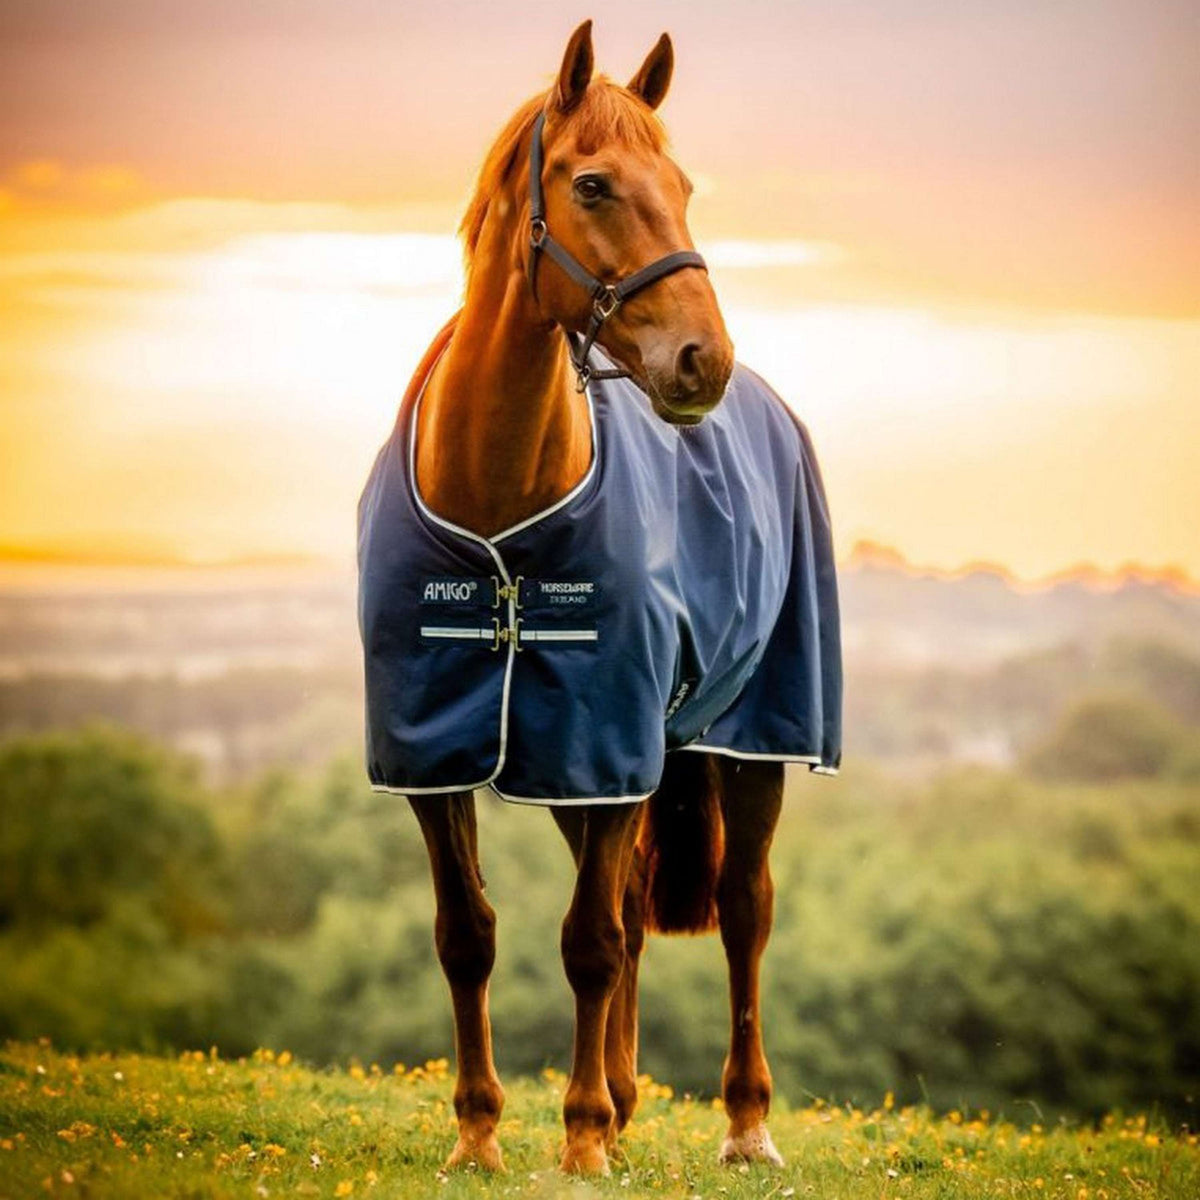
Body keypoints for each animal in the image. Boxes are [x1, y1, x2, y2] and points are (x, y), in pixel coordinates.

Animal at [357, 21, 841, 1175]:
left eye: (684, 184)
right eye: (592, 183)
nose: (702, 361)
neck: (498, 508)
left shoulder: (608, 739)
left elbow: (589, 942)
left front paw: (577, 1143)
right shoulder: (446, 752)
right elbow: (469, 935)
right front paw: (481, 1136)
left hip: (748, 739)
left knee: (743, 909)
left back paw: (743, 1123)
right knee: (622, 903)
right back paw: (621, 1101)